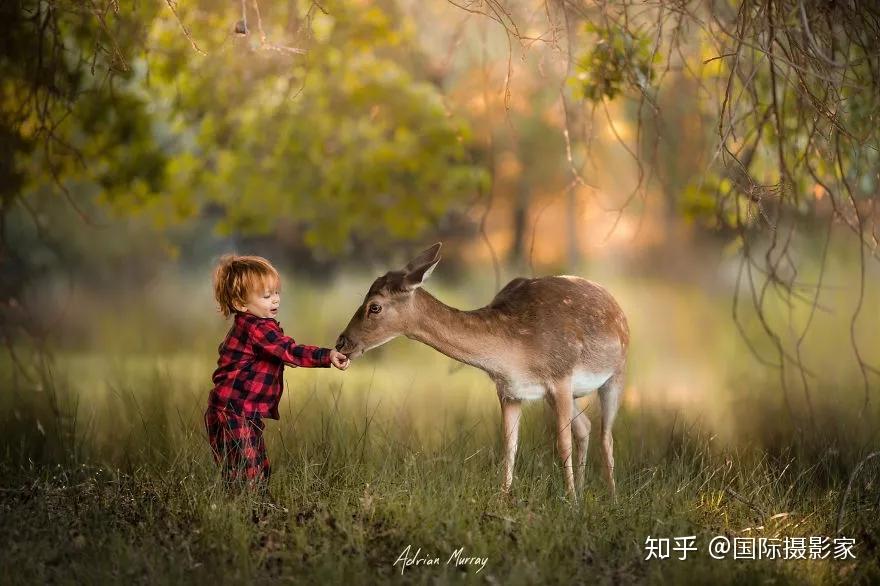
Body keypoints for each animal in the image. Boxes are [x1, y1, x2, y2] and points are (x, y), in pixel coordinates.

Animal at [334, 241, 628, 498]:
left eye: (374, 306)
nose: (342, 342)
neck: (516, 353)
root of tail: (615, 303)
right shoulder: (510, 391)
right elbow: (509, 446)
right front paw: (503, 501)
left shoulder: (561, 377)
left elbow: (562, 443)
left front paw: (571, 503)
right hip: (564, 396)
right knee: (586, 426)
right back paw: (584, 489)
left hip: (616, 374)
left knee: (606, 435)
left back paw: (611, 497)